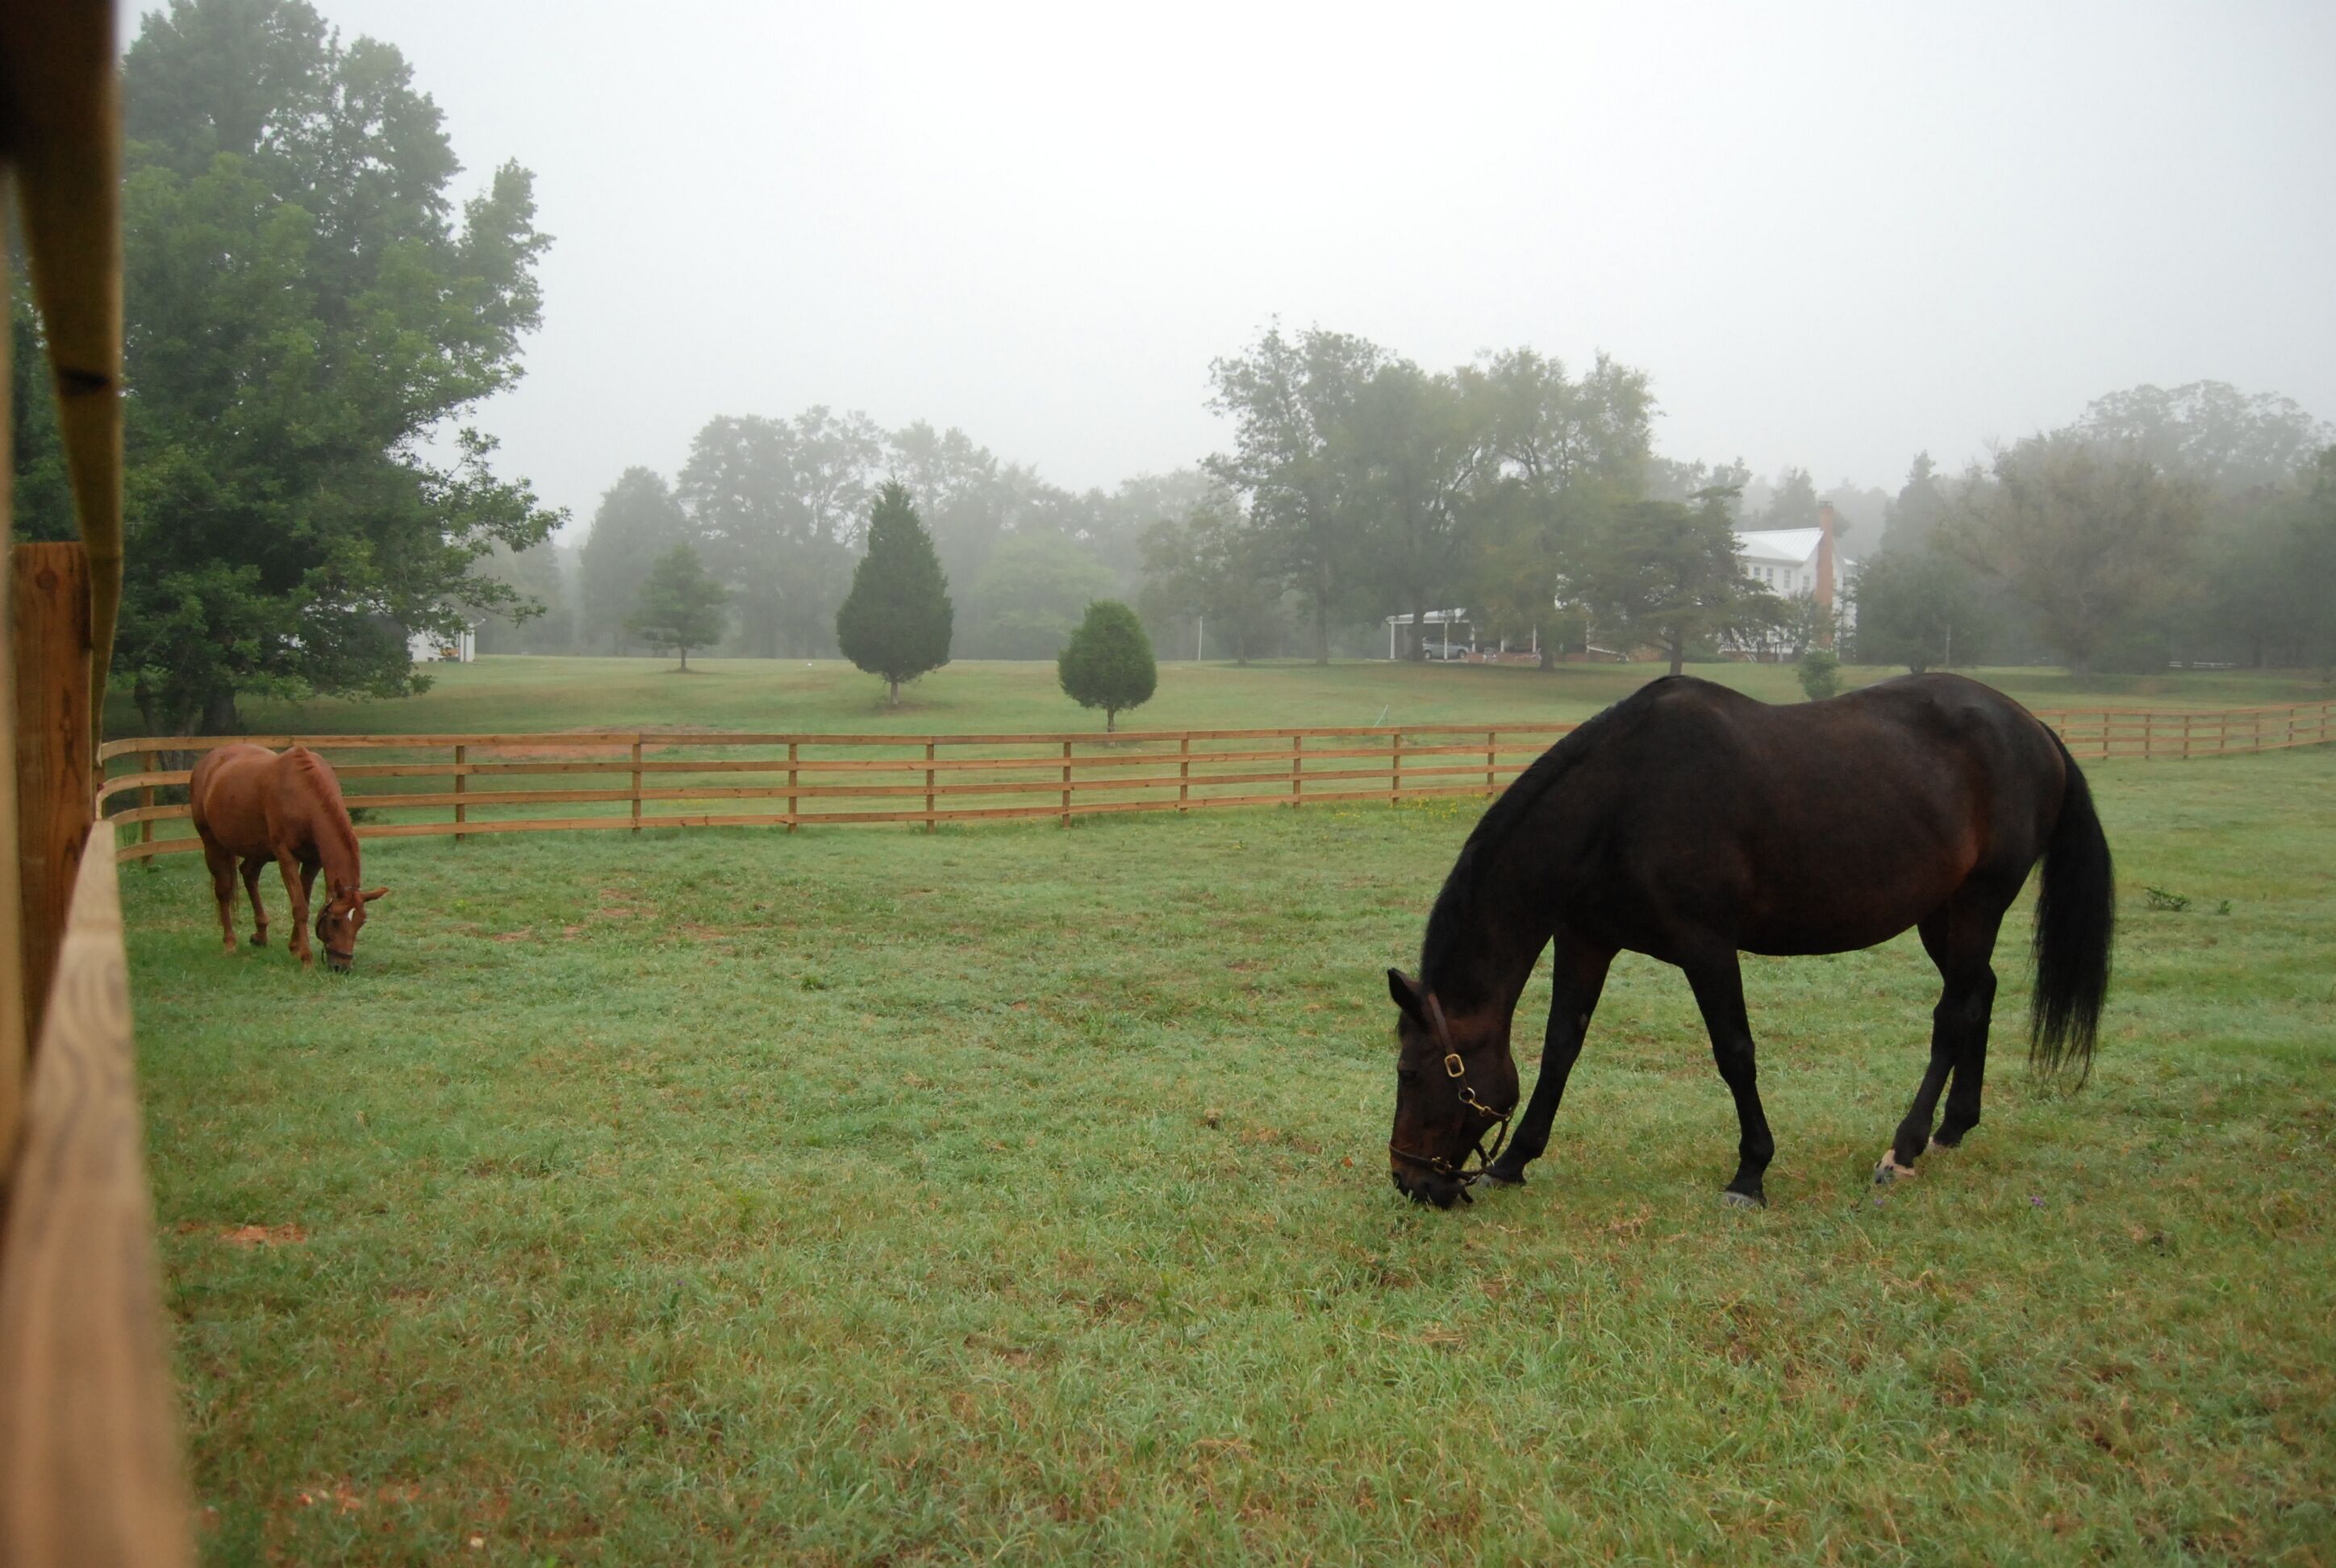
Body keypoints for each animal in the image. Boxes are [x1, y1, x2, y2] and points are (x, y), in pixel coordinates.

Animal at [189, 744, 388, 972]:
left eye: (361, 922)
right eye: (335, 921)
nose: (341, 967)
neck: (303, 794)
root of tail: (209, 761)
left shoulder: (313, 861)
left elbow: (305, 900)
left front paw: (294, 948)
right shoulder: (286, 857)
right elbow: (300, 907)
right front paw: (307, 959)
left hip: (259, 850)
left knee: (249, 874)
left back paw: (260, 935)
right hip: (212, 843)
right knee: (224, 891)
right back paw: (230, 943)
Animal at [1386, 673, 2114, 1210]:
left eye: (1410, 1072)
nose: (1410, 1181)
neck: (1619, 801)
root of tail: (2035, 730)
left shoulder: (1706, 946)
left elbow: (1734, 1053)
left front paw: (1751, 1173)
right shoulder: (1586, 940)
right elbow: (1562, 1047)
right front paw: (1514, 1161)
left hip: (1976, 905)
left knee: (1955, 1013)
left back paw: (1904, 1149)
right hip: (1943, 916)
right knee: (1979, 995)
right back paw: (1954, 1127)